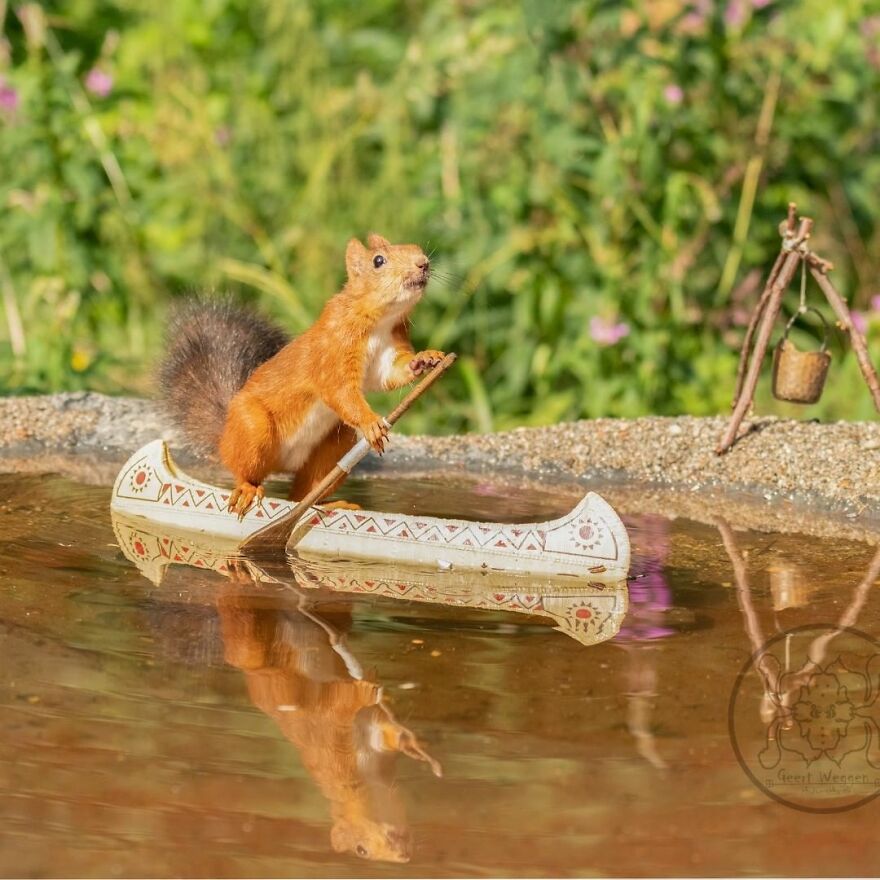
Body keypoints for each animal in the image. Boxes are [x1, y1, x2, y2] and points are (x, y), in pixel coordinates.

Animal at [160, 234, 444, 516]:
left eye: (417, 248)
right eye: (378, 261)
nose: (423, 263)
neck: (381, 321)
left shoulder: (386, 353)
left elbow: (390, 375)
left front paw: (425, 358)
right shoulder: (333, 351)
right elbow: (340, 390)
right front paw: (371, 423)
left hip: (334, 446)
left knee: (301, 495)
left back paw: (329, 504)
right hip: (252, 428)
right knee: (244, 470)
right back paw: (247, 489)